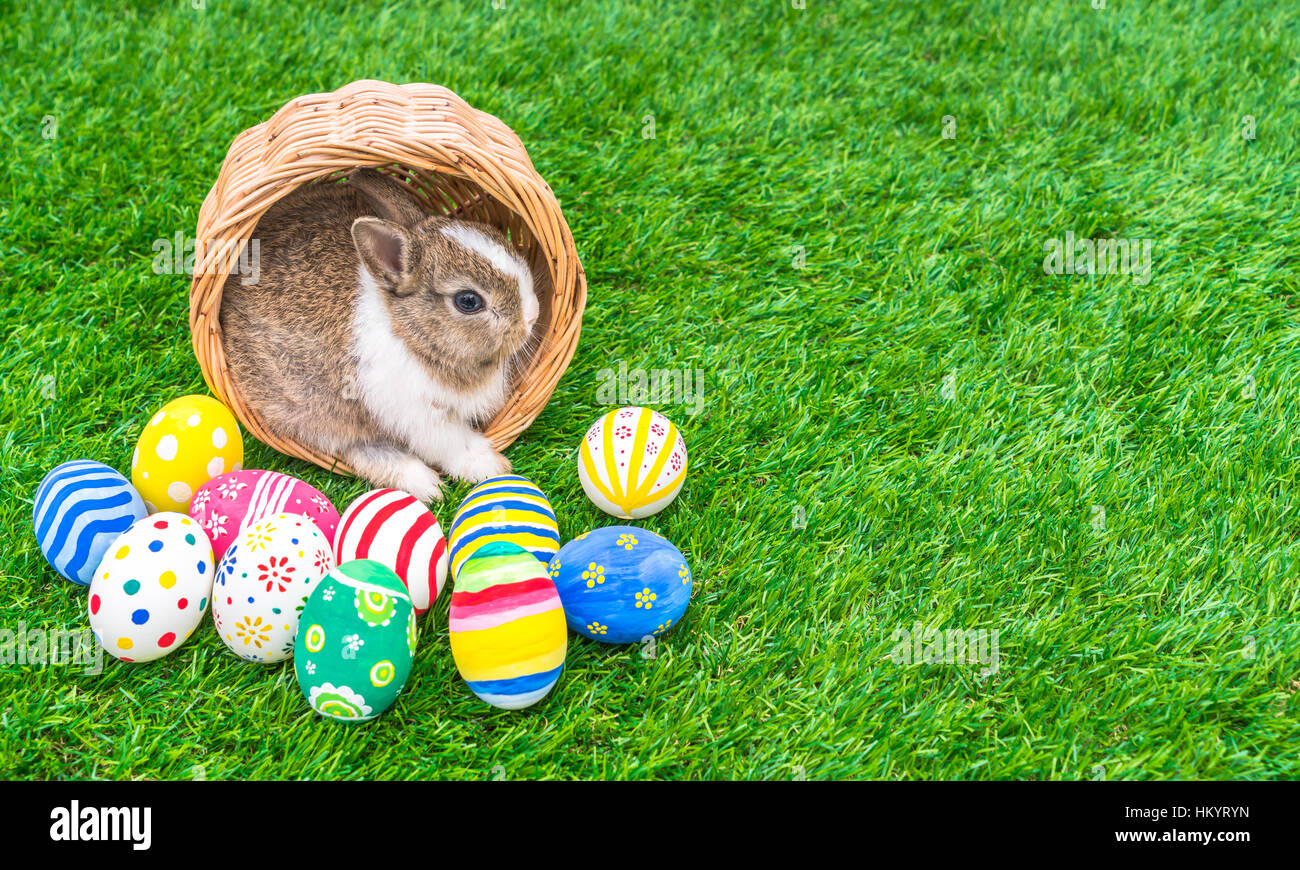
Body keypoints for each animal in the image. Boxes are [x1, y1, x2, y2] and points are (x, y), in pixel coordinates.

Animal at [219, 169, 541, 503]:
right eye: (468, 301)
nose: (533, 316)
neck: (409, 333)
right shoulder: (417, 415)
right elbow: (452, 441)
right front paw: (492, 468)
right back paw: (427, 486)